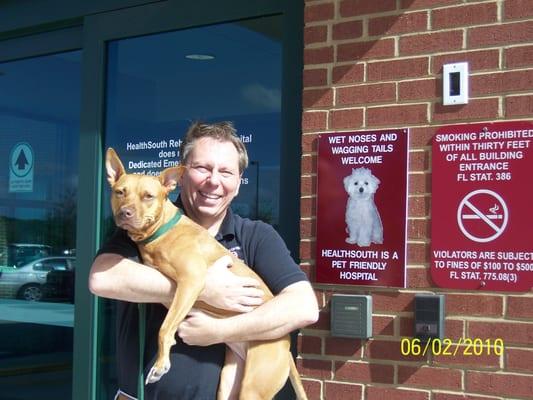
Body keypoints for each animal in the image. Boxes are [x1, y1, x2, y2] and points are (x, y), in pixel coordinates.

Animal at [104, 149, 308, 400]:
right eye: (119, 192)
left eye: (148, 196)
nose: (125, 213)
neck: (163, 231)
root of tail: (285, 346)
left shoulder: (191, 279)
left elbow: (165, 328)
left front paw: (161, 365)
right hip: (229, 383)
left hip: (254, 387)